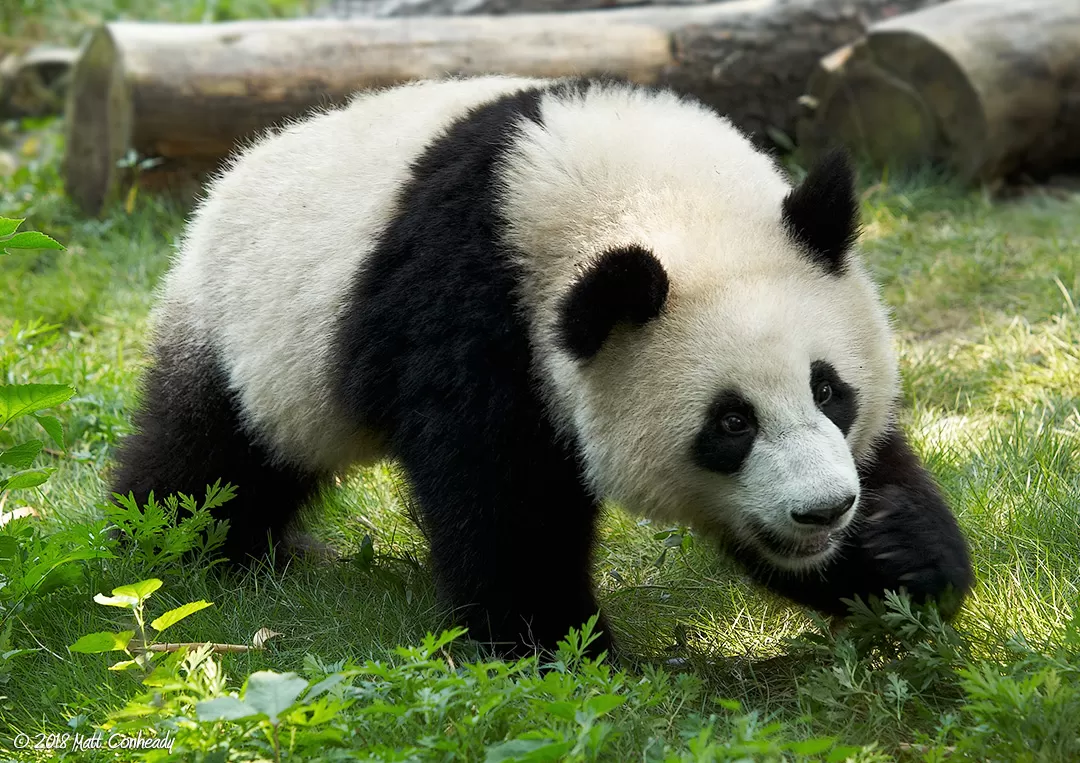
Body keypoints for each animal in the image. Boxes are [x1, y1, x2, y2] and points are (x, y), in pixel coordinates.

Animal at [113, 74, 976, 652]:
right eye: (731, 422)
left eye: (829, 390)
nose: (824, 510)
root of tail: (224, 180)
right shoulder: (475, 307)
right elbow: (501, 489)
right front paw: (552, 643)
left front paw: (901, 551)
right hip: (252, 336)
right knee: (209, 460)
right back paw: (176, 550)